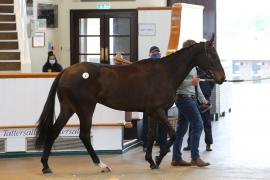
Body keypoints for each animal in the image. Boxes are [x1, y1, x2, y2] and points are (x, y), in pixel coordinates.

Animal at [35, 35, 226, 174]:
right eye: (213, 55)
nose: (222, 78)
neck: (165, 73)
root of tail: (66, 71)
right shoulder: (158, 111)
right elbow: (172, 135)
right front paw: (158, 158)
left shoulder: (153, 112)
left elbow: (151, 135)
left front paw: (151, 161)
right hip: (85, 109)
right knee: (84, 135)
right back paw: (101, 165)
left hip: (68, 108)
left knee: (54, 131)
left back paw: (46, 166)